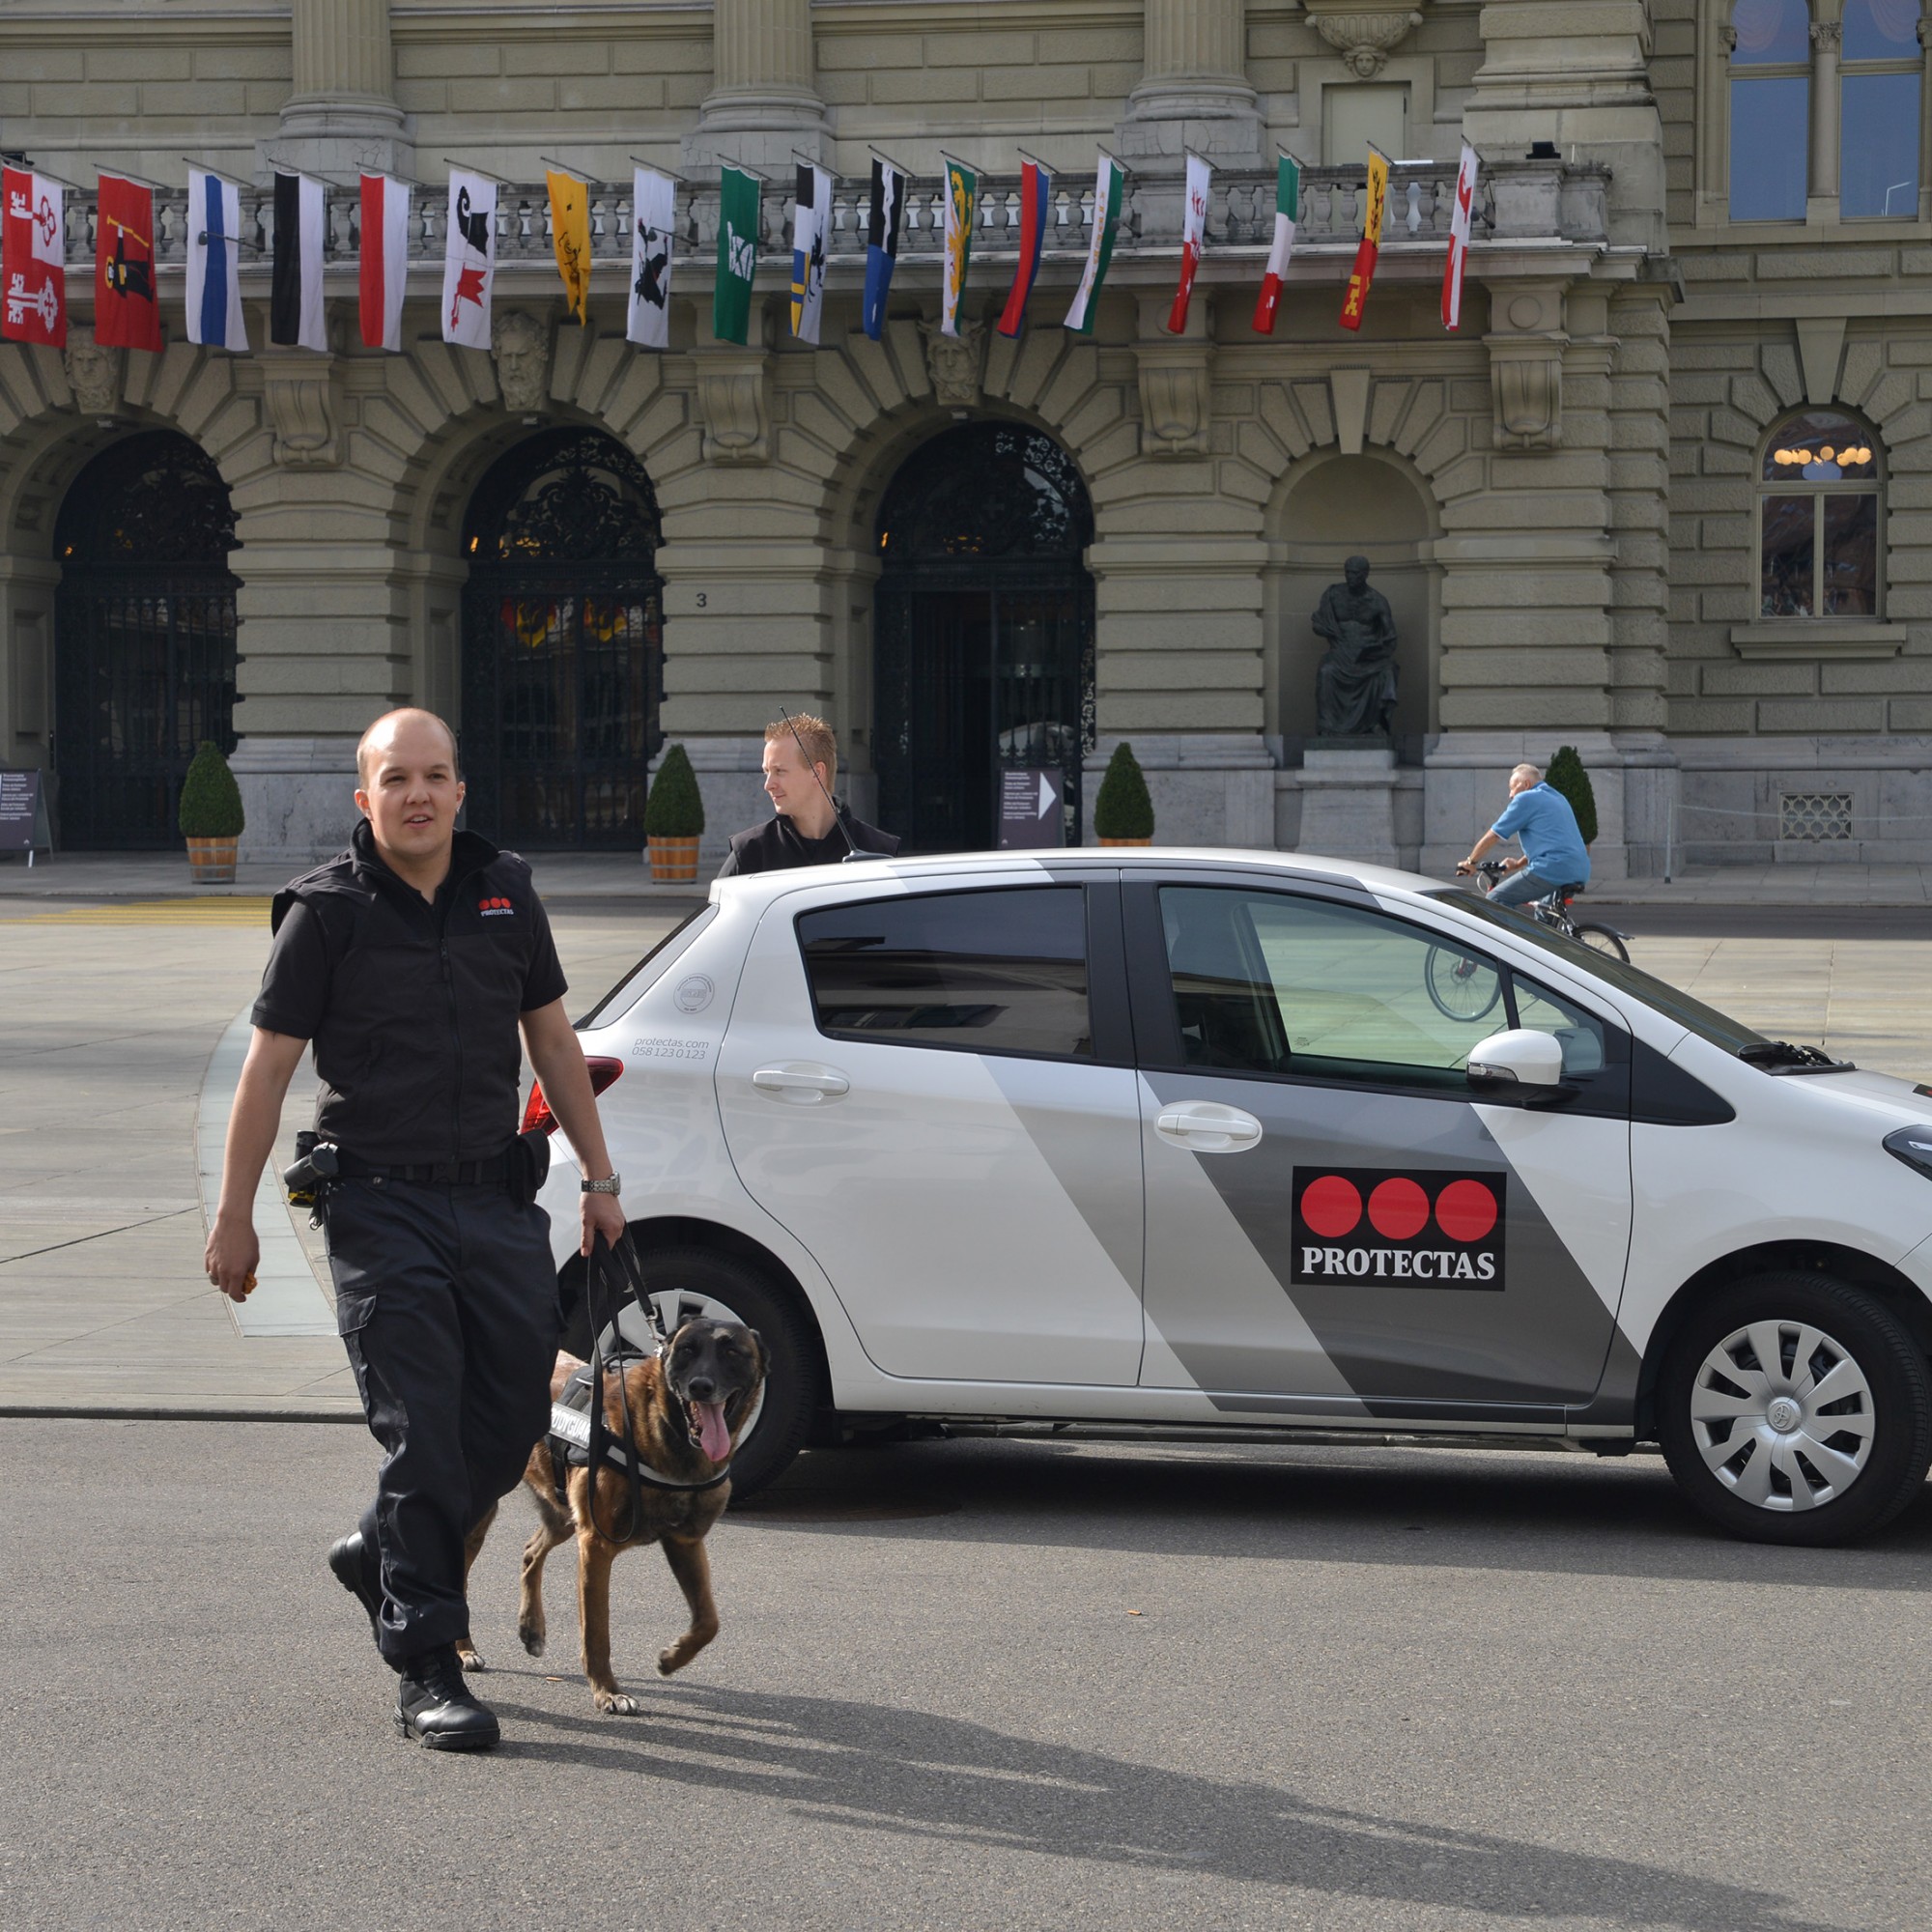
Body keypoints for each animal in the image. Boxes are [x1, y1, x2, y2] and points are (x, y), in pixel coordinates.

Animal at [460, 1321, 769, 1716]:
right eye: (687, 1350)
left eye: (732, 1352)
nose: (701, 1386)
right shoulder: (595, 1546)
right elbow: (597, 1632)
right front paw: (607, 1691)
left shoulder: (686, 1543)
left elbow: (709, 1621)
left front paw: (673, 1657)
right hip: (479, 1518)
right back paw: (463, 1649)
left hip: (561, 1516)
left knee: (530, 1552)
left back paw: (532, 1629)